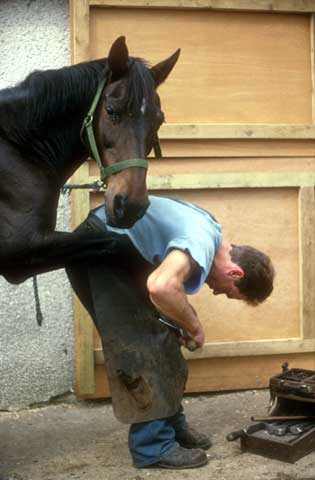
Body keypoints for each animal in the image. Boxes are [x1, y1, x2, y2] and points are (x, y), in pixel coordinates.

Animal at [0, 37, 180, 286]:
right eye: (111, 110)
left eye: (159, 120)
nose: (131, 207)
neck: (21, 149)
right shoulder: (21, 249)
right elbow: (114, 241)